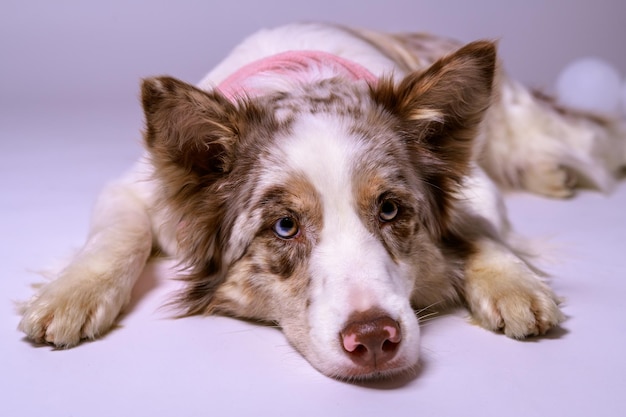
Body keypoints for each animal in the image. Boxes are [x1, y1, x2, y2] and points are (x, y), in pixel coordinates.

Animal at [17, 22, 620, 380]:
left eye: (390, 210)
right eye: (285, 226)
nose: (374, 340)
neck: (306, 89)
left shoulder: (475, 186)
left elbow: (479, 231)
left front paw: (514, 283)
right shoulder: (132, 188)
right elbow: (119, 235)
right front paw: (71, 294)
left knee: (592, 140)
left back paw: (556, 169)